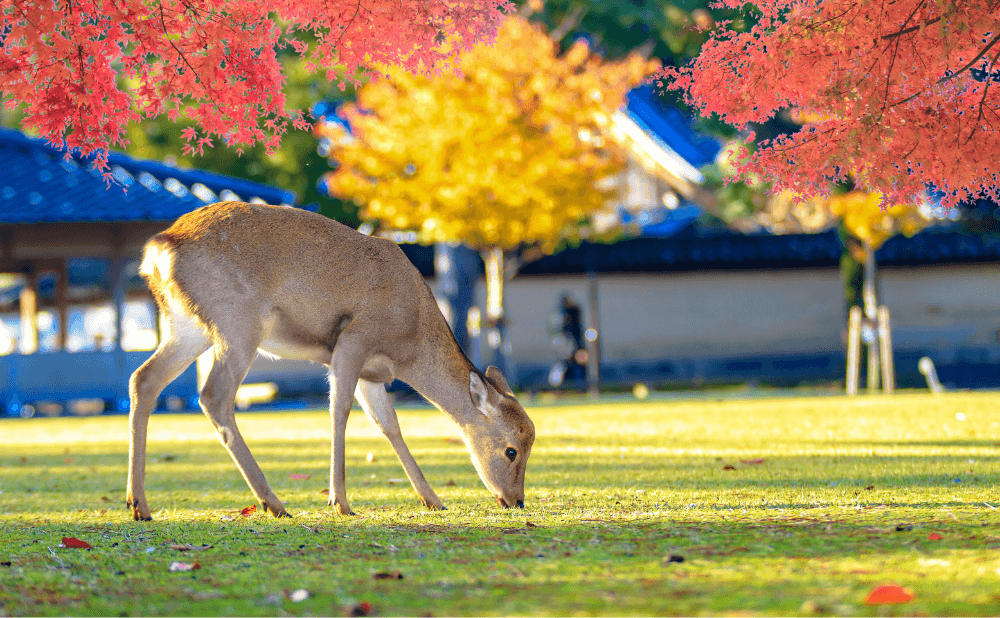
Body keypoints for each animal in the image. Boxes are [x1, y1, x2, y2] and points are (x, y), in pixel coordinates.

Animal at [128, 200, 536, 516]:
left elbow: (389, 424)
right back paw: (274, 503)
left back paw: (139, 505)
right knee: (214, 396)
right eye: (511, 450)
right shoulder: (353, 340)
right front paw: (340, 502)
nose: (516, 501)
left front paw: (432, 499)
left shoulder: (373, 375)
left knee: (143, 378)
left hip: (187, 327)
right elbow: (339, 410)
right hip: (238, 323)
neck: (408, 344)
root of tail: (158, 249)